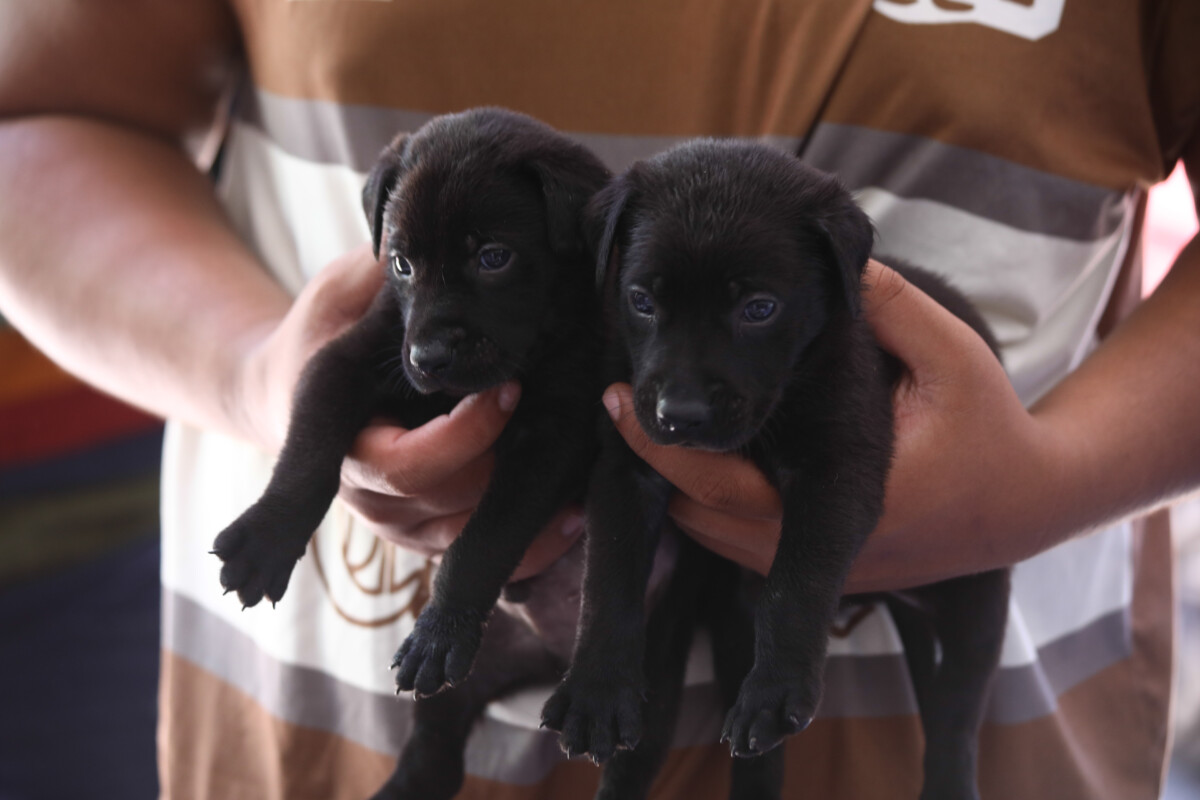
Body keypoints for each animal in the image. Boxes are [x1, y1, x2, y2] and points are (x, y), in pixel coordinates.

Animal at [541, 139, 1012, 800]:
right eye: (642, 301)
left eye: (759, 309)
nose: (680, 415)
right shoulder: (626, 468)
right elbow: (608, 576)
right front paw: (597, 691)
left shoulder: (838, 468)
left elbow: (796, 580)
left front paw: (778, 688)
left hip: (978, 591)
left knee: (959, 710)